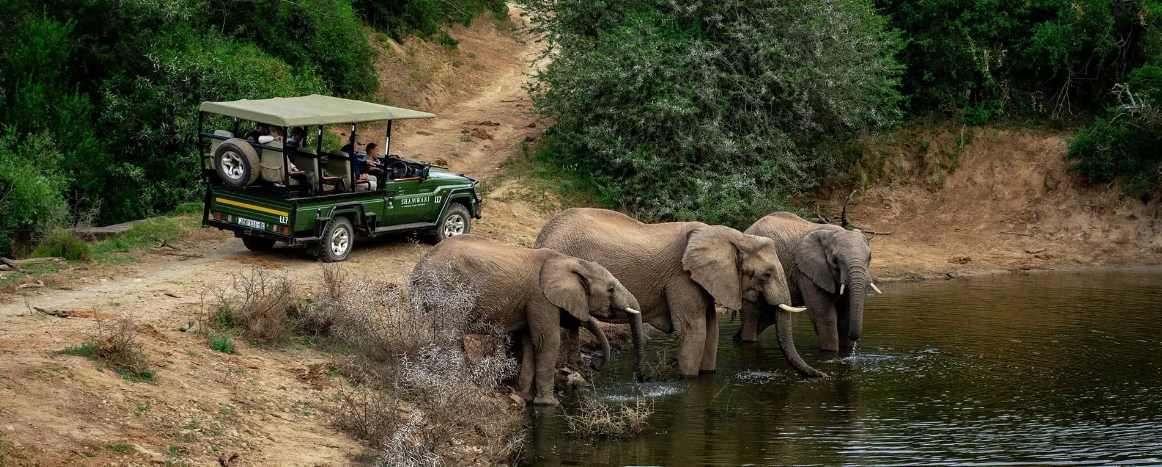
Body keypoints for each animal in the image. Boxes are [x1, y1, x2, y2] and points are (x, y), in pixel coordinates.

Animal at [408, 234, 646, 406]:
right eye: (611, 289)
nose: (594, 365)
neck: (570, 261)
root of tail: (418, 268)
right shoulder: (541, 298)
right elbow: (548, 342)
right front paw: (550, 404)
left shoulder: (528, 302)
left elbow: (530, 342)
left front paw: (524, 397)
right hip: (446, 290)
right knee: (449, 336)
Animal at [534, 208, 823, 378]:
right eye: (766, 275)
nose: (823, 376)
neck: (732, 237)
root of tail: (541, 236)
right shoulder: (682, 278)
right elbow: (694, 330)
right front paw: (687, 379)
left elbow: (711, 330)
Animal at [736, 212, 882, 351]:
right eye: (835, 260)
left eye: (870, 257)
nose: (855, 340)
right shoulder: (806, 272)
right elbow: (824, 315)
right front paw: (831, 351)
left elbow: (846, 314)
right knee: (751, 314)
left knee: (766, 316)